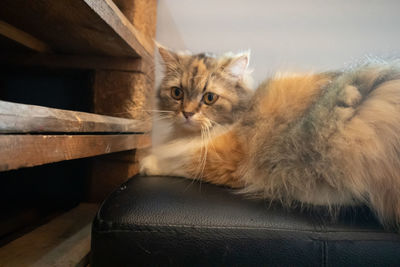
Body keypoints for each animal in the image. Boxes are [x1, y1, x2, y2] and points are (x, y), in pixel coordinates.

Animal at [140, 45, 400, 229]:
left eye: (209, 98)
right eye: (177, 93)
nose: (187, 113)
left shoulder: (222, 161)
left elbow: (176, 161)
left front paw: (146, 163)